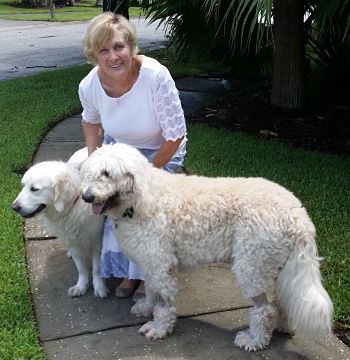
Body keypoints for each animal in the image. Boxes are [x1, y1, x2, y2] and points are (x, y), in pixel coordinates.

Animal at [11, 160, 108, 298]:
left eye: (34, 189)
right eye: (23, 186)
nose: (13, 207)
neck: (71, 209)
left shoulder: (97, 242)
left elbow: (97, 269)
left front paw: (99, 287)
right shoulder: (72, 243)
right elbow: (81, 269)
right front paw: (81, 286)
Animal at [80, 144, 334, 352]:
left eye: (107, 173)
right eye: (89, 173)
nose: (86, 197)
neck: (141, 199)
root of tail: (298, 214)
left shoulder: (161, 263)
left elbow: (163, 301)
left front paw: (159, 328)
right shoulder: (151, 263)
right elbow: (151, 289)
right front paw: (146, 307)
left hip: (252, 265)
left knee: (264, 309)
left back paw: (254, 340)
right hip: (278, 266)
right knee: (283, 300)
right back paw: (282, 326)